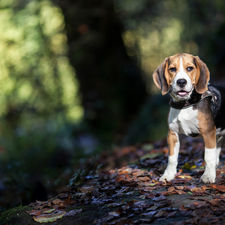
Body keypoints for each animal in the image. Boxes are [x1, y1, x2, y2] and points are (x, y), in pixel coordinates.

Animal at [153, 53, 225, 183]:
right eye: (172, 69)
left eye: (190, 68)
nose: (181, 82)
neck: (185, 104)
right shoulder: (172, 134)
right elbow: (172, 158)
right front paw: (168, 175)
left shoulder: (208, 132)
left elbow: (208, 156)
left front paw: (208, 176)